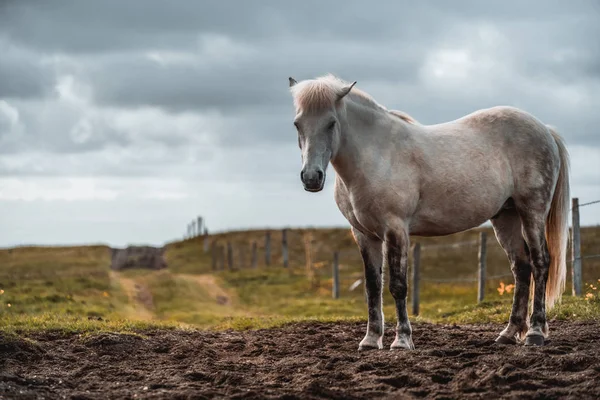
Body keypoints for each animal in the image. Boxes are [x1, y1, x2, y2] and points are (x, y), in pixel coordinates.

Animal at [288, 72, 568, 350]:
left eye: (331, 123)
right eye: (297, 124)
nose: (311, 177)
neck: (377, 155)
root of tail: (545, 129)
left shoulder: (396, 229)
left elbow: (398, 285)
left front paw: (402, 340)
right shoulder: (363, 234)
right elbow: (372, 287)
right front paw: (370, 339)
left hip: (532, 211)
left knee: (541, 262)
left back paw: (535, 333)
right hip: (506, 217)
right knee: (521, 268)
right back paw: (508, 333)